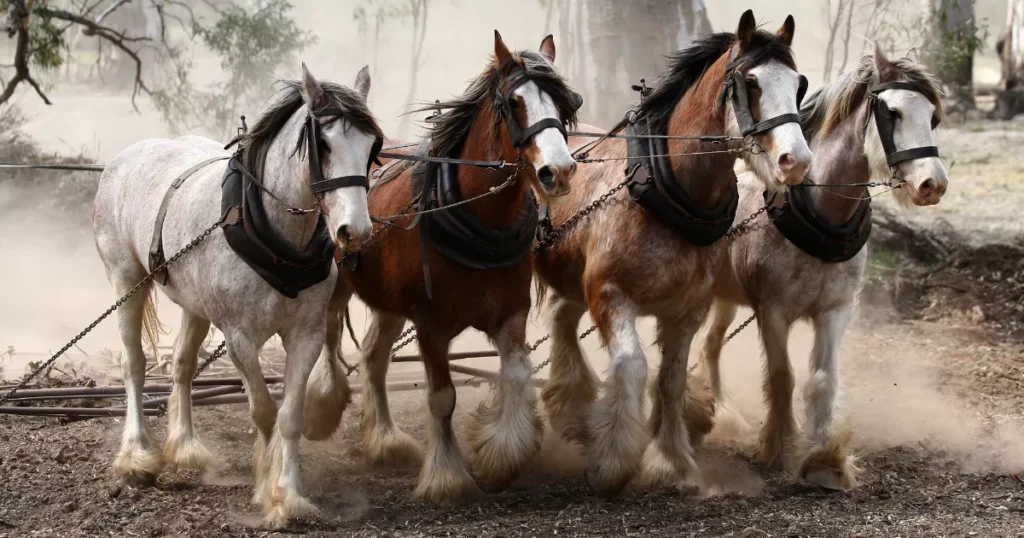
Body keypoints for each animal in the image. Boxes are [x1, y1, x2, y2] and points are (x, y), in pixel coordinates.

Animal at [93, 65, 385, 524]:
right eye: (323, 143)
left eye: (372, 146)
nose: (354, 231)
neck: (274, 239)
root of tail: (125, 159)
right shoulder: (239, 338)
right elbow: (263, 411)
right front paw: (267, 485)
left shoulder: (306, 335)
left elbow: (290, 416)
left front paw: (289, 493)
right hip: (126, 281)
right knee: (134, 366)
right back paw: (137, 456)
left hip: (193, 305)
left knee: (181, 366)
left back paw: (186, 446)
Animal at [299, 31, 581, 502]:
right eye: (513, 102)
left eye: (564, 103)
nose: (557, 171)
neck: (478, 219)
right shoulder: (430, 323)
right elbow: (442, 398)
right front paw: (447, 476)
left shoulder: (511, 314)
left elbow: (517, 375)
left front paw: (501, 455)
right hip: (339, 284)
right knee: (332, 333)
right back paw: (323, 403)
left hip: (389, 303)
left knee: (374, 357)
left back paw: (385, 440)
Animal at [536, 10, 815, 498]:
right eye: (751, 82)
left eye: (798, 84)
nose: (795, 161)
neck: (667, 189)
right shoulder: (610, 294)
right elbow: (631, 366)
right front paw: (613, 460)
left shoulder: (689, 307)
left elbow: (669, 379)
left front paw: (670, 461)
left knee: (560, 318)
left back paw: (571, 407)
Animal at [692, 47, 946, 489]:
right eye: (893, 112)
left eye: (932, 117)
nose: (934, 183)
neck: (821, 217)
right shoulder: (773, 312)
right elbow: (783, 377)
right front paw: (779, 448)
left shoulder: (835, 310)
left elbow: (822, 380)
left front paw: (822, 457)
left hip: (727, 297)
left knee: (710, 345)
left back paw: (724, 412)